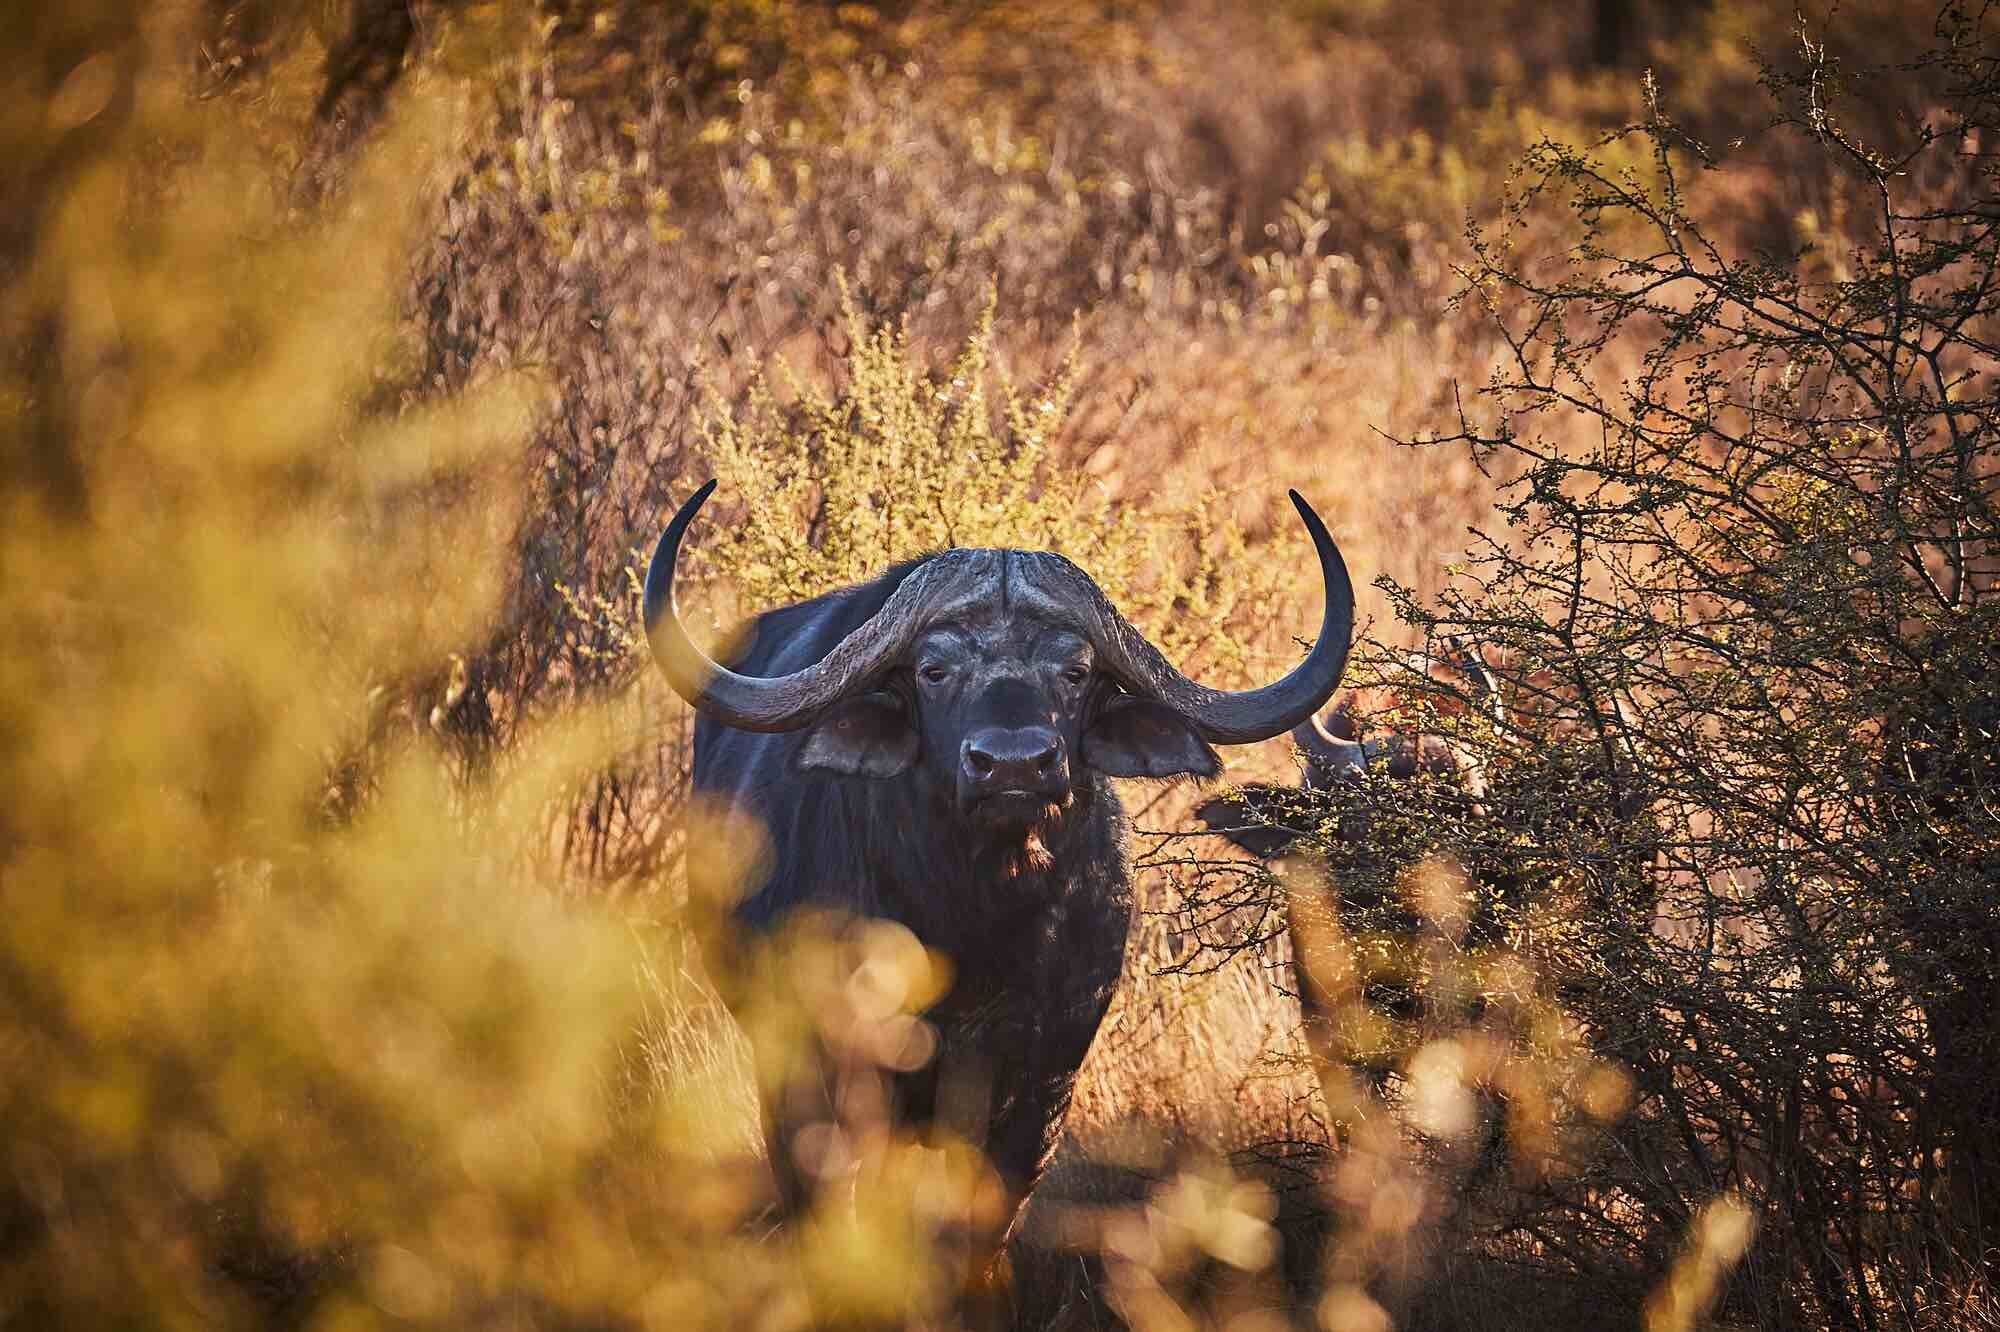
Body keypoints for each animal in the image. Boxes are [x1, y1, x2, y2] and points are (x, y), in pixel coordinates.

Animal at [643, 480, 1354, 1311]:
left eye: (1075, 672)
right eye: (933, 670)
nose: (1014, 765)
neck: (973, 922)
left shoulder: (1041, 1085)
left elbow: (984, 1227)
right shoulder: (824, 1075)